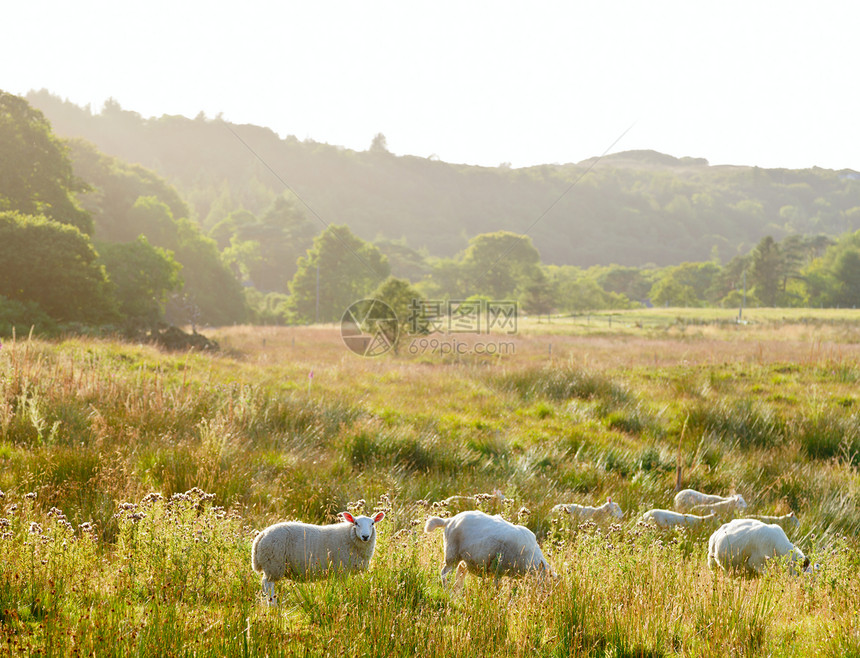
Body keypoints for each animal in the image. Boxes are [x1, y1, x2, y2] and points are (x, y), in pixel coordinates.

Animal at [249, 508, 382, 604]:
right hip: (273, 564)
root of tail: (261, 536)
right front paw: (343, 599)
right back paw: (273, 605)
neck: (349, 536)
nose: (365, 536)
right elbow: (343, 587)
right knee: (268, 585)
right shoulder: (341, 570)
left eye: (372, 523)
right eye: (356, 523)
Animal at [424, 508, 556, 584]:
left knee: (459, 575)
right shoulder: (498, 570)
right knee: (445, 574)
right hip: (452, 554)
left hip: (464, 558)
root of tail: (450, 520)